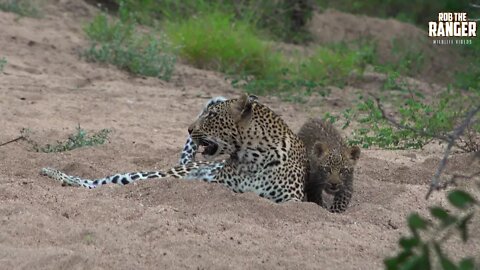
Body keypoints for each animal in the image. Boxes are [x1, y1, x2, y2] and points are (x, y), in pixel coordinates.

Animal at [41, 93, 308, 202]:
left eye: (211, 115)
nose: (189, 129)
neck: (252, 157)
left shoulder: (290, 201)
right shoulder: (219, 186)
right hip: (157, 174)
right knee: (102, 181)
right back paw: (52, 172)